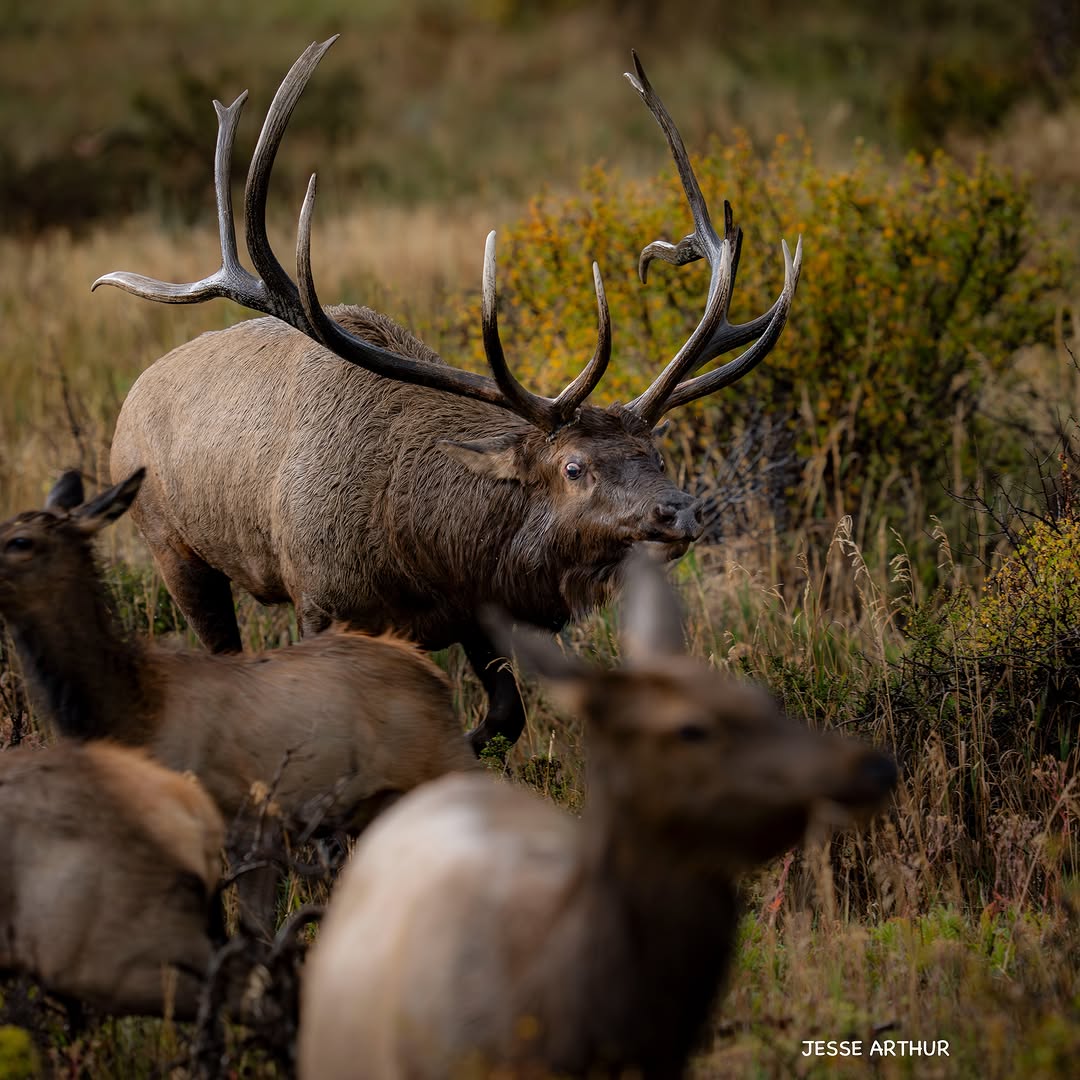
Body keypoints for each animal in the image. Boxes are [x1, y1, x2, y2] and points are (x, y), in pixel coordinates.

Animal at [93, 39, 802, 757]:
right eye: (574, 468)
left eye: (655, 454)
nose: (678, 511)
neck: (427, 548)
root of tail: (132, 396)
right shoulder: (320, 602)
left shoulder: (478, 616)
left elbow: (500, 718)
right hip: (172, 547)